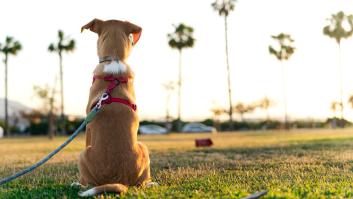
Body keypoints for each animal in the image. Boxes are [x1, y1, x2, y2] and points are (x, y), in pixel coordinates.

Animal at [76, 18, 156, 197]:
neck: (114, 59)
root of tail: (120, 181)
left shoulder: (88, 127)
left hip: (83, 154)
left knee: (89, 183)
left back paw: (78, 185)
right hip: (144, 148)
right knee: (143, 182)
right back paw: (151, 183)